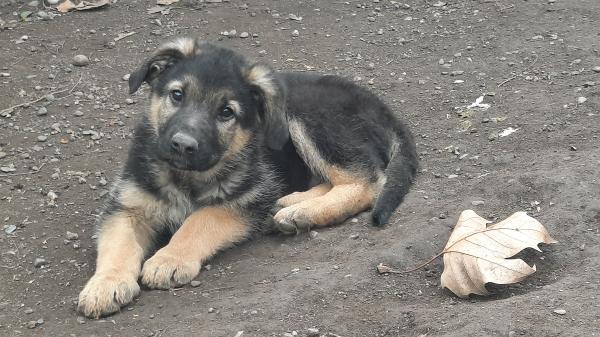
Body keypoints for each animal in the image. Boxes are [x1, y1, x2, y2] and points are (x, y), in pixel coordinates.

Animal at [76, 38, 418, 316]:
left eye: (226, 112)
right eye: (177, 95)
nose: (183, 145)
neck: (187, 177)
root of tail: (381, 107)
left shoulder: (245, 199)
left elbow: (199, 220)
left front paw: (169, 258)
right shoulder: (127, 206)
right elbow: (119, 244)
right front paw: (106, 284)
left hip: (308, 115)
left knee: (367, 181)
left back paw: (301, 213)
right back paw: (291, 205)